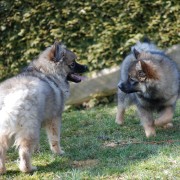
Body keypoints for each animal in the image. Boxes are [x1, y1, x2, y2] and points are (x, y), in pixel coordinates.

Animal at [0, 40, 87, 173]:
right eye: (72, 64)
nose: (86, 67)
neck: (48, 73)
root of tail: (7, 98)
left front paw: (37, 152)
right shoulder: (54, 118)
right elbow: (55, 138)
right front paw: (58, 152)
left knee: (2, 149)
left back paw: (2, 170)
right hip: (30, 128)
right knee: (24, 151)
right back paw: (28, 169)